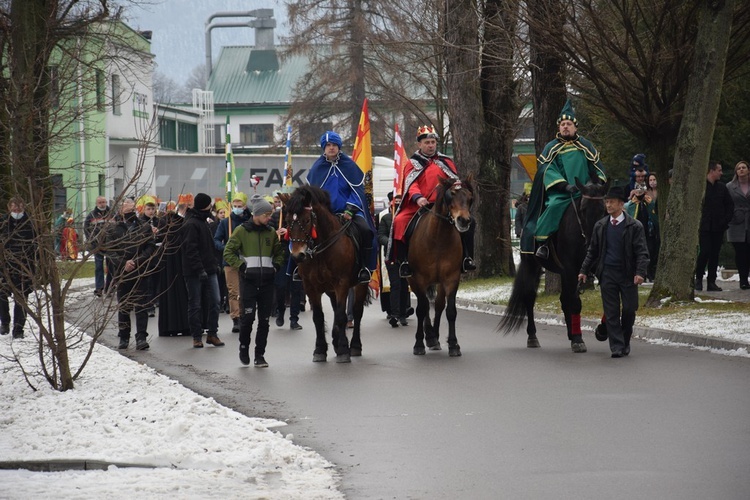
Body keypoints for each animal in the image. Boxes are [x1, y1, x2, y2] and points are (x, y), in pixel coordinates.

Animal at [280, 186, 370, 362]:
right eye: (286, 221)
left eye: (307, 221)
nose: (297, 256)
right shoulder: (311, 287)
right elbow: (318, 317)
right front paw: (320, 349)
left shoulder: (342, 284)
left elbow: (342, 315)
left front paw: (343, 349)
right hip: (330, 289)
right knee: (335, 309)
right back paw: (336, 341)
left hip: (360, 284)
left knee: (356, 312)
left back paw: (354, 346)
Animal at [406, 174, 476, 358]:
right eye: (451, 194)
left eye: (469, 197)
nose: (463, 220)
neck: (438, 238)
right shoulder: (419, 279)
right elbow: (421, 309)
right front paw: (419, 343)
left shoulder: (451, 279)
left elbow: (450, 310)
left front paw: (453, 344)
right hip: (413, 281)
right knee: (424, 307)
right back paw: (429, 336)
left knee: (437, 305)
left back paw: (434, 338)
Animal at [500, 180, 612, 352]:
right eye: (583, 209)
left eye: (603, 209)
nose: (592, 244)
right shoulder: (571, 269)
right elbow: (575, 303)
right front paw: (578, 340)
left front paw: (601, 331)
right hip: (532, 265)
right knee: (530, 297)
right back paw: (533, 337)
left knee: (564, 299)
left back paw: (571, 333)